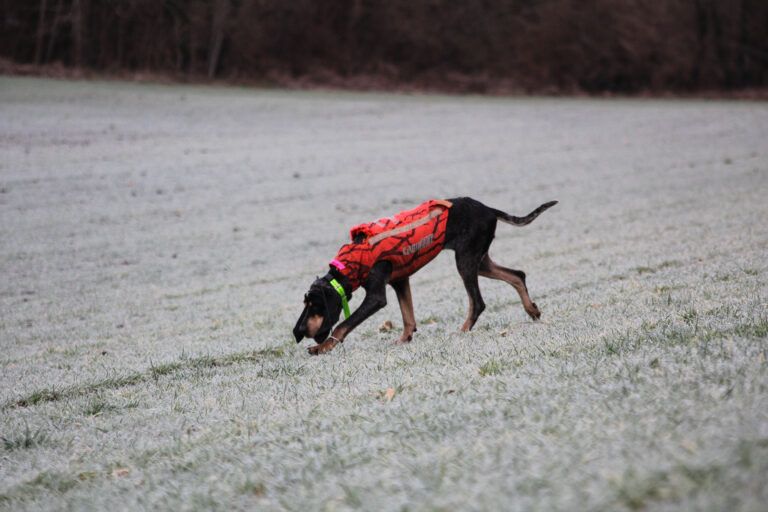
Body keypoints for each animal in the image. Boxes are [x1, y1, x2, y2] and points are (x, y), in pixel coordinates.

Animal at [292, 197, 556, 356]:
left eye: (314, 305)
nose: (299, 331)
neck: (348, 266)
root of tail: (489, 209)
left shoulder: (376, 296)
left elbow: (342, 325)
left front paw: (324, 347)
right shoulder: (400, 280)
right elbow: (408, 316)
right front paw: (404, 339)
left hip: (465, 261)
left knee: (478, 302)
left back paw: (462, 330)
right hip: (479, 261)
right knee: (517, 275)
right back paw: (532, 310)